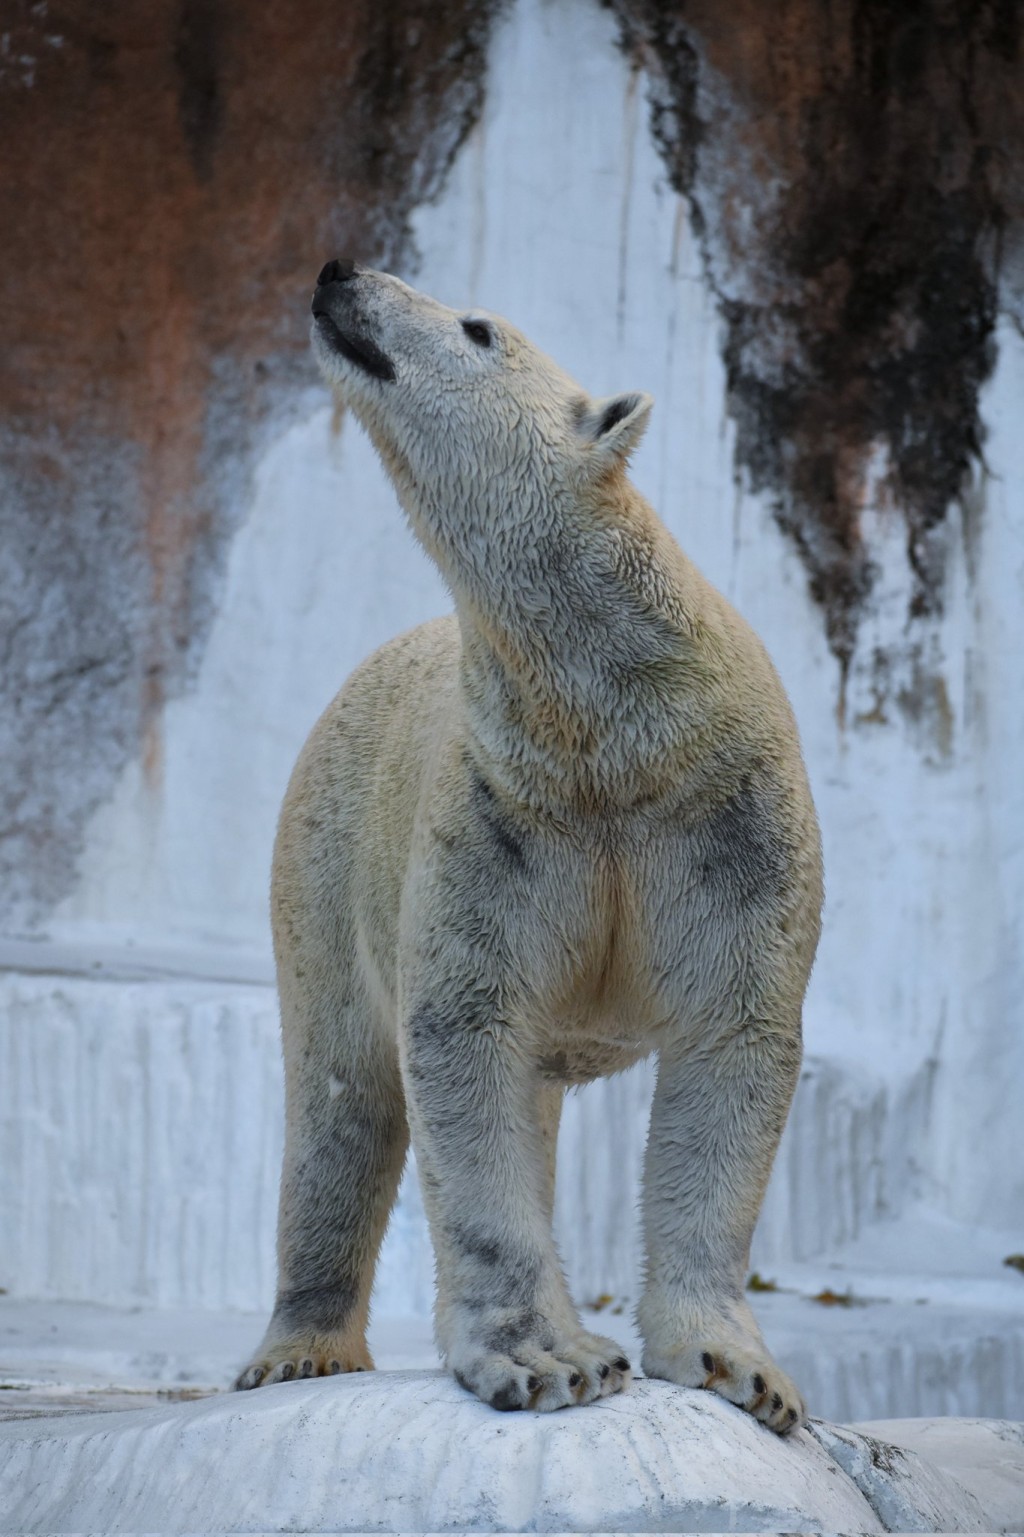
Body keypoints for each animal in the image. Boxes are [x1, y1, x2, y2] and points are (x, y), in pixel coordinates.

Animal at [233, 261, 824, 1426]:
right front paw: (550, 1357)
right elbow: (463, 1042)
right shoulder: (500, 815)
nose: (340, 274)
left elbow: (732, 1037)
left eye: (478, 329)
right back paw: (300, 1350)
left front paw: (736, 1367)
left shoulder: (726, 819)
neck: (613, 733)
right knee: (339, 1096)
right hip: (325, 856)